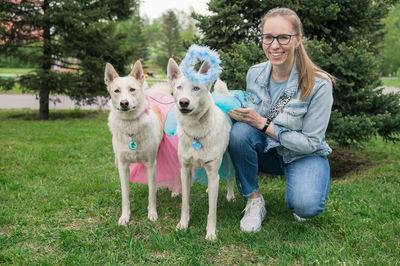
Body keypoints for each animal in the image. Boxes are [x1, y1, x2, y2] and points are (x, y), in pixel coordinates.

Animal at [105, 61, 165, 225]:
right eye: (116, 91)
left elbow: (151, 195)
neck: (130, 124)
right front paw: (125, 217)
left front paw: (152, 213)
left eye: (132, 89)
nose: (124, 103)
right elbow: (125, 196)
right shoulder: (123, 166)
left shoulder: (150, 164)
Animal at [166, 58, 234, 241]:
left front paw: (211, 233)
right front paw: (183, 224)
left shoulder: (212, 169)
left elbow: (212, 211)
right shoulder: (185, 170)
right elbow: (185, 203)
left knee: (229, 176)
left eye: (196, 88)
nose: (183, 102)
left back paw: (230, 195)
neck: (195, 131)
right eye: (179, 87)